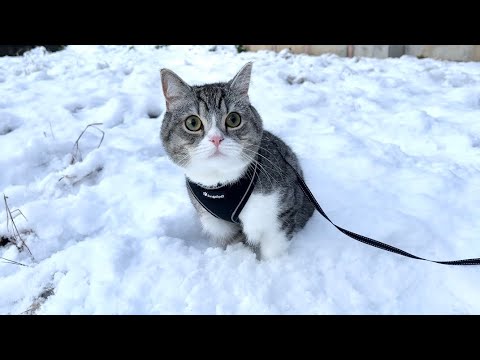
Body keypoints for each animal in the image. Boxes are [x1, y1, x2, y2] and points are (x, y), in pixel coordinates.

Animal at [159, 62, 316, 258]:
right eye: (192, 123)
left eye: (234, 119)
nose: (216, 139)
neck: (221, 184)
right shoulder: (215, 222)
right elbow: (233, 241)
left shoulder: (281, 210)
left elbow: (273, 247)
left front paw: (272, 264)